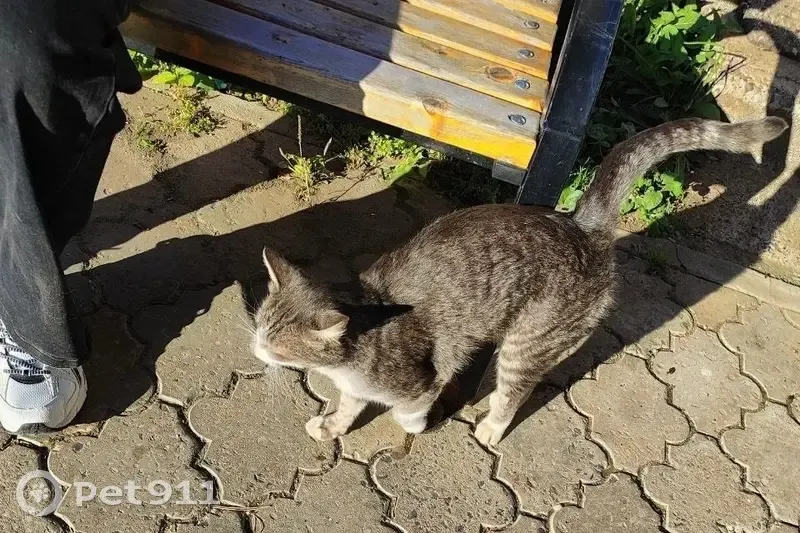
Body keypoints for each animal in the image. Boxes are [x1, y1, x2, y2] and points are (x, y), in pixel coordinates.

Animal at [252, 117, 787, 446]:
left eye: (277, 345)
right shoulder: (354, 387)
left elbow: (412, 408)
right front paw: (334, 426)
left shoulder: (419, 381)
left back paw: (492, 425)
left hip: (526, 344)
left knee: (515, 390)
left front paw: (415, 425)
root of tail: (581, 224)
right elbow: (347, 407)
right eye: (260, 329)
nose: (255, 351)